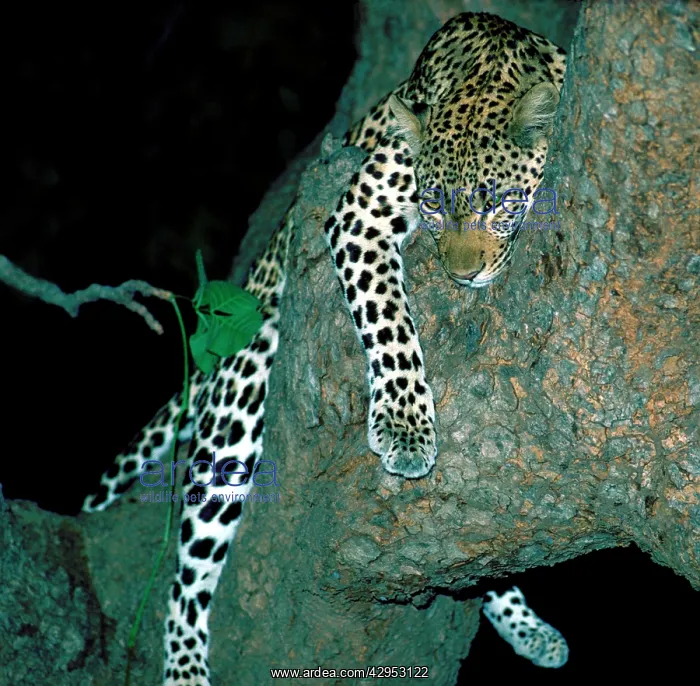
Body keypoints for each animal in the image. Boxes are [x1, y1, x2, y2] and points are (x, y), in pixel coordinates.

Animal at [82, 12, 568, 684]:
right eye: (432, 203)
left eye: (496, 202)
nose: (462, 275)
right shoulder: (361, 209)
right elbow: (389, 322)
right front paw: (406, 429)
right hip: (241, 395)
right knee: (185, 580)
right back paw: (184, 665)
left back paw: (533, 631)